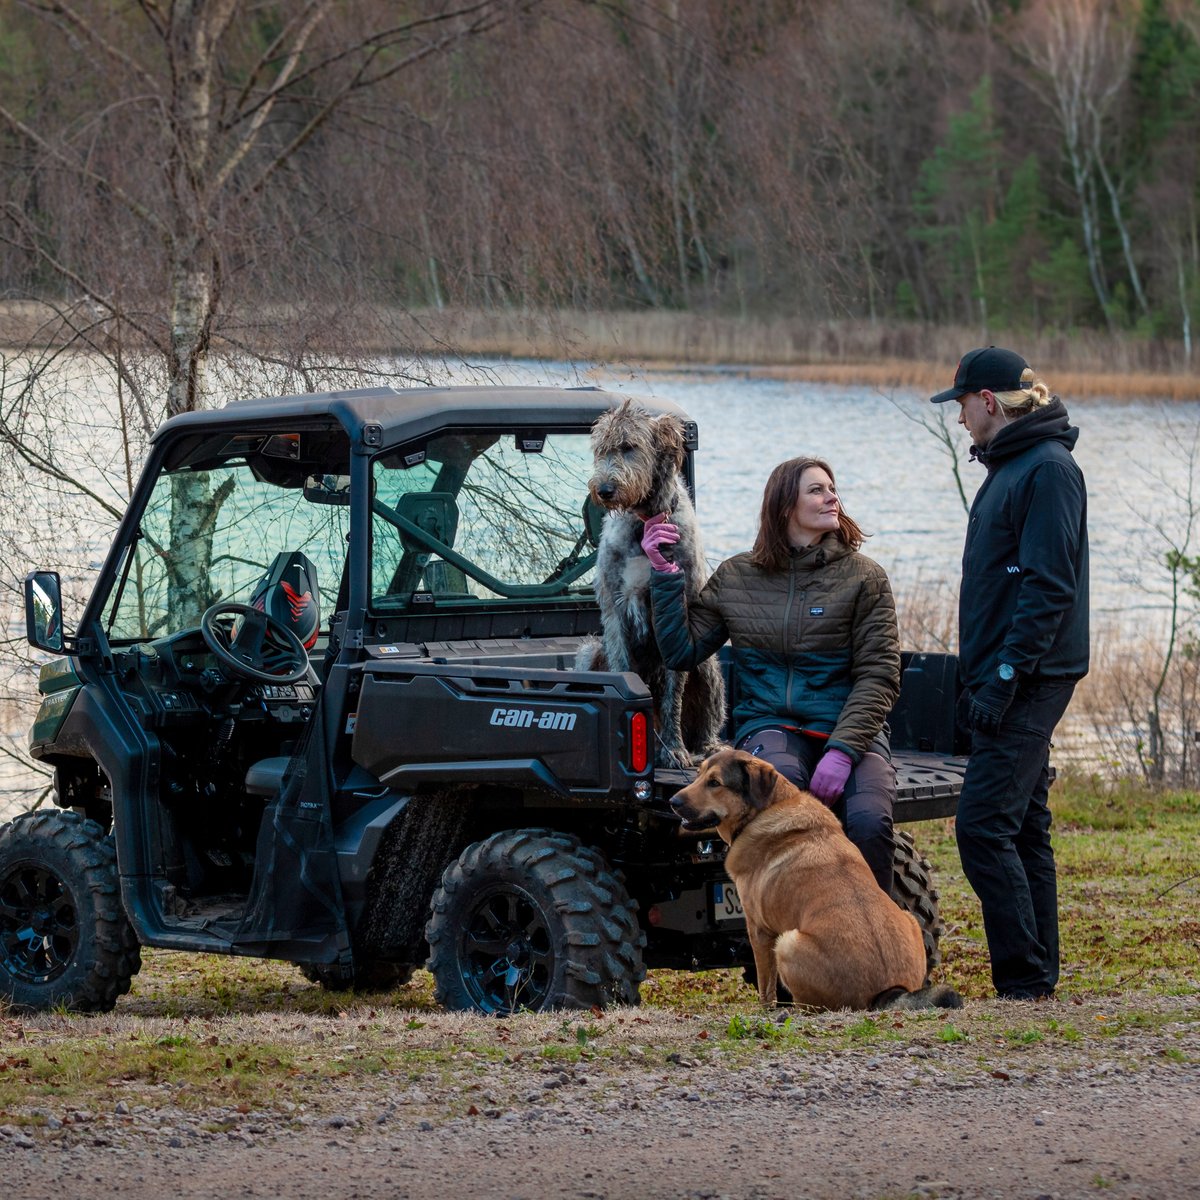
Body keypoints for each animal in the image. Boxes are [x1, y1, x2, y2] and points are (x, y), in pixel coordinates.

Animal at [576, 398, 724, 763]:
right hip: (589, 651)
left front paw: (673, 748)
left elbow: (673, 693)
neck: (645, 523)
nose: (604, 490)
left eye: (630, 447)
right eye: (601, 449)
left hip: (708, 666)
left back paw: (707, 746)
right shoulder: (614, 607)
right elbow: (622, 663)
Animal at [672, 748, 960, 1012]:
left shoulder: (759, 930)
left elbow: (766, 986)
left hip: (787, 943)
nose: (673, 801)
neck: (768, 808)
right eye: (698, 775)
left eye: (715, 783)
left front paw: (765, 1011)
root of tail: (890, 991)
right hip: (909, 917)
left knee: (807, 1006)